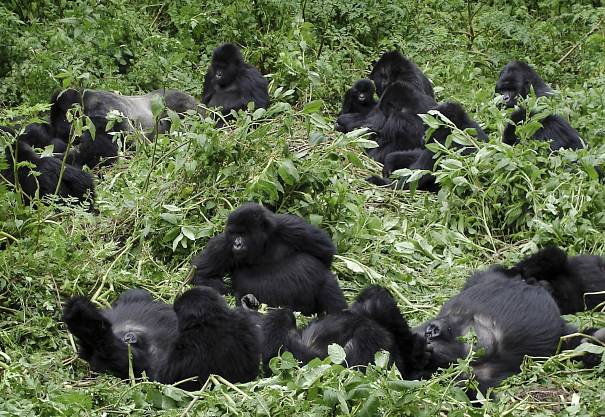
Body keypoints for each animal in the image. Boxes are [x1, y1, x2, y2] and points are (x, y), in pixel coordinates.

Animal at [191, 202, 346, 316]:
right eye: (234, 233)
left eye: (243, 233)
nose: (237, 244)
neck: (263, 243)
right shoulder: (223, 244)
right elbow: (201, 276)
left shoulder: (290, 226)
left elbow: (325, 251)